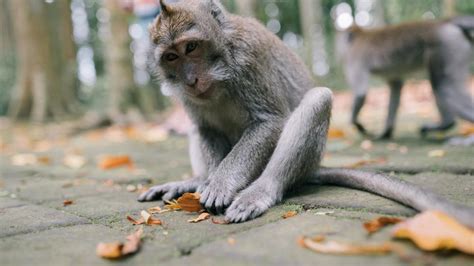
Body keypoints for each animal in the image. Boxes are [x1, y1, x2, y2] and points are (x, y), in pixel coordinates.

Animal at [338, 16, 474, 139]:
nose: (339, 47)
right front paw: (386, 132)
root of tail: (444, 22)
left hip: (446, 47)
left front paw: (356, 123)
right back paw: (446, 124)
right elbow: (396, 87)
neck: (360, 36)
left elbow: (360, 93)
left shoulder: (354, 58)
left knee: (443, 87)